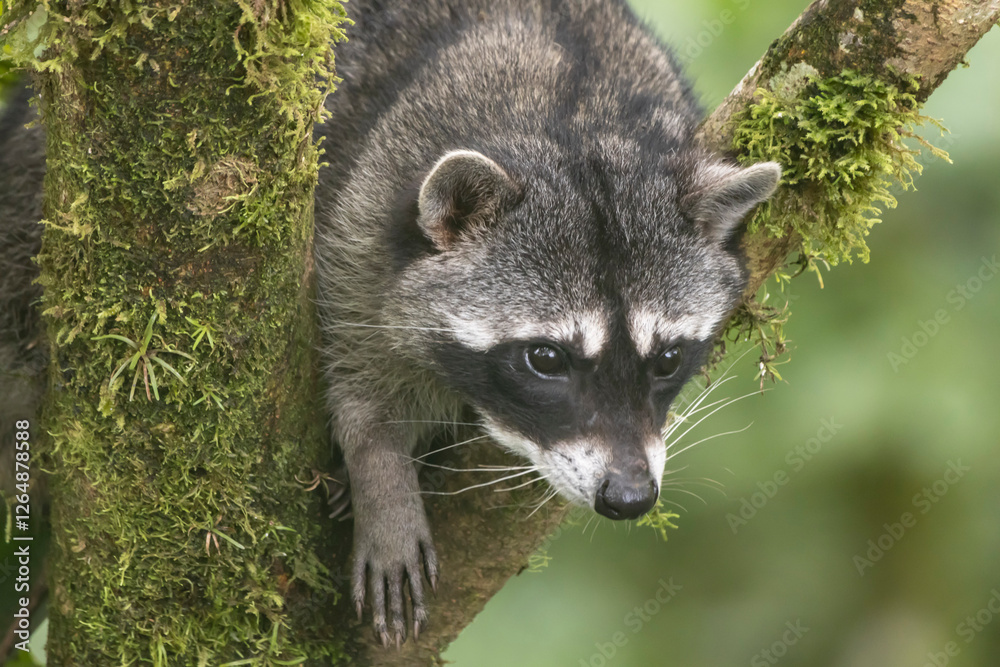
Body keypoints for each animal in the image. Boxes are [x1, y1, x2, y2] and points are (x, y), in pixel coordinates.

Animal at [315, 0, 779, 647]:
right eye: (546, 359)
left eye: (666, 359)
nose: (630, 497)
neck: (577, 121)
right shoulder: (362, 215)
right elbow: (357, 361)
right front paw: (380, 476)